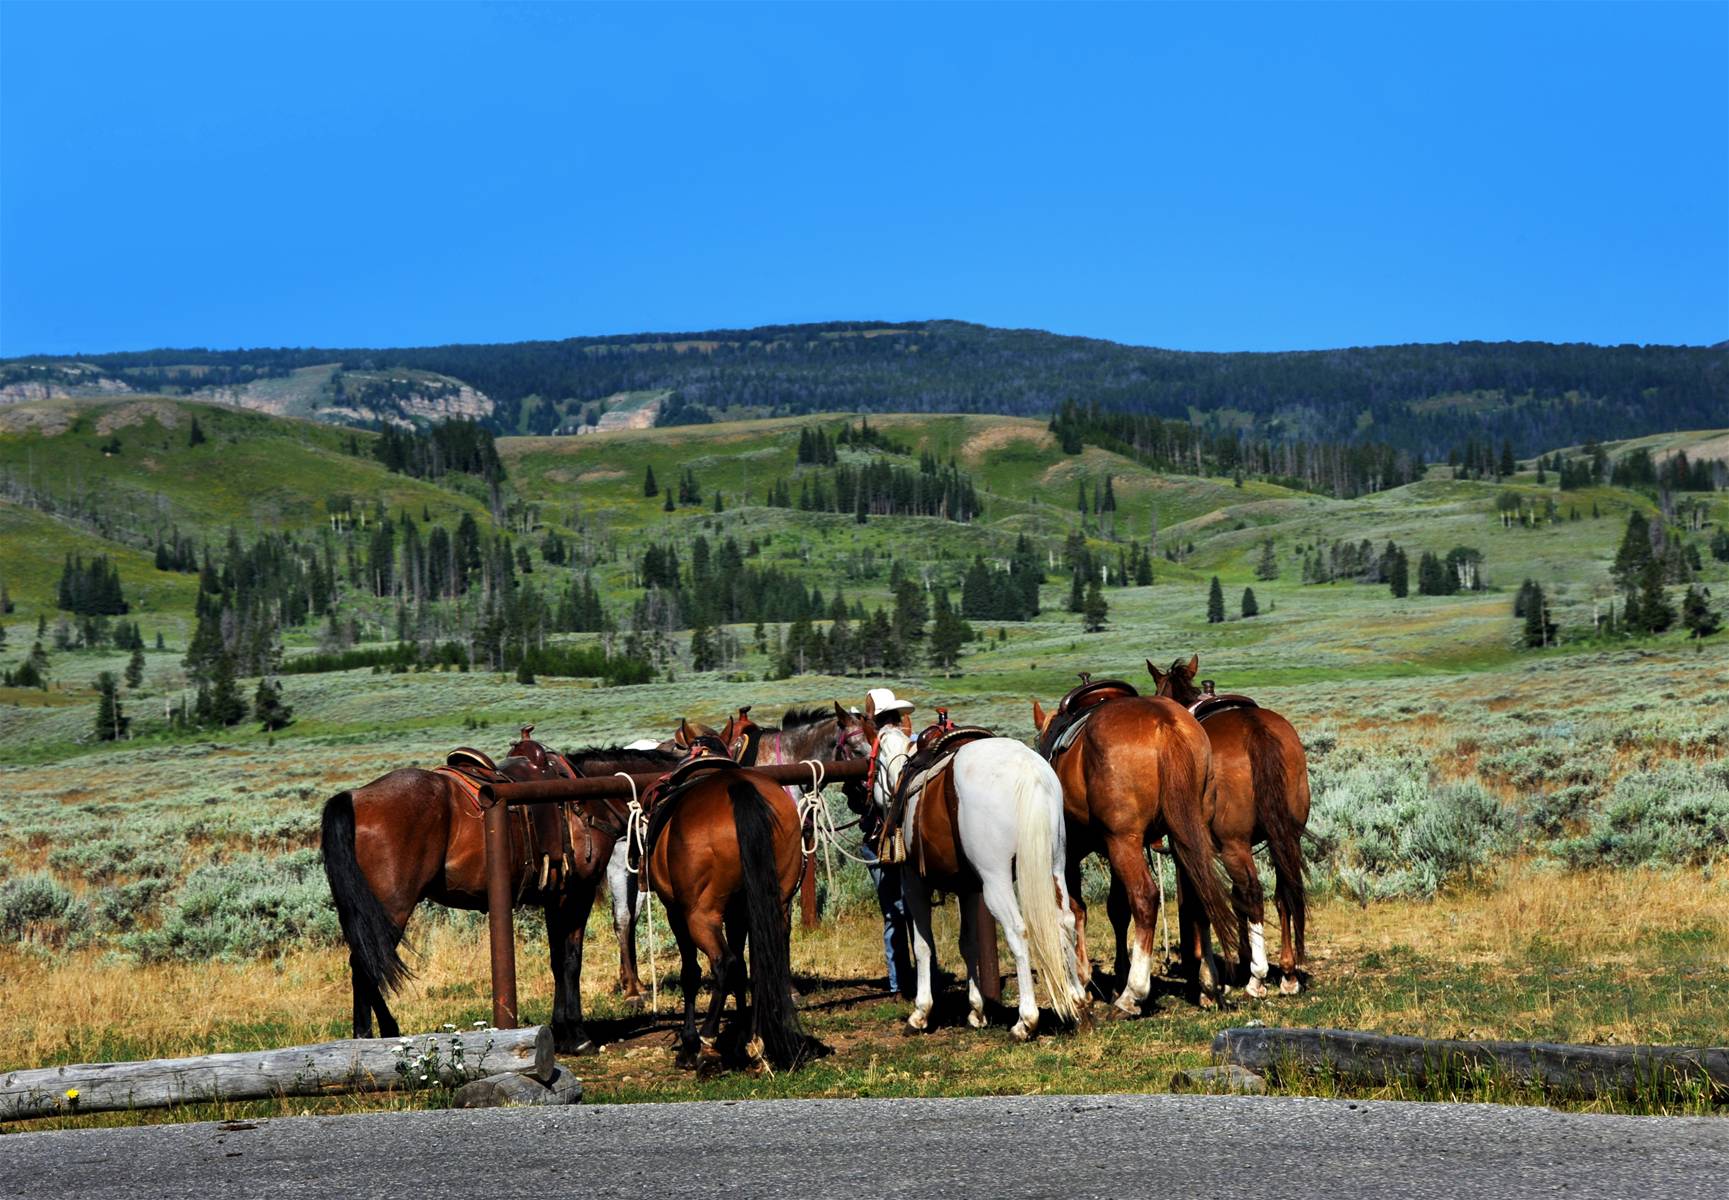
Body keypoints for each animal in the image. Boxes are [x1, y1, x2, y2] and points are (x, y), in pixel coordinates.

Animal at [318, 736, 674, 1058]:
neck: (587, 797)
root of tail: (353, 797)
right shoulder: (576, 894)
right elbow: (571, 960)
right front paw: (577, 1036)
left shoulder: (553, 897)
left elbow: (557, 960)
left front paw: (561, 1031)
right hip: (392, 908)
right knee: (366, 963)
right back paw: (369, 1037)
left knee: (363, 962)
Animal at [826, 708, 1078, 1037]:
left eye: (862, 757)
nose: (852, 796)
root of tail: (1028, 772)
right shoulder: (968, 888)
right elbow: (968, 944)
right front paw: (976, 1010)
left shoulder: (914, 883)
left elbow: (923, 946)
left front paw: (920, 1013)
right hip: (1054, 866)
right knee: (1066, 921)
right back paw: (1078, 1000)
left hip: (997, 882)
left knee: (1018, 931)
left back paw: (1026, 1021)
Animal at [1030, 684, 1237, 1016]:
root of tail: (1165, 724)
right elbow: (1117, 910)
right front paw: (1116, 975)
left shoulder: (1073, 851)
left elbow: (1077, 908)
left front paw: (1086, 979)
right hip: (1183, 835)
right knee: (1198, 895)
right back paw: (1208, 984)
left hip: (1123, 841)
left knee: (1145, 897)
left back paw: (1133, 995)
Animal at [1148, 657, 1307, 995]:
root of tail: (1255, 729)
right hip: (1286, 838)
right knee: (1283, 891)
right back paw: (1288, 974)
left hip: (1235, 845)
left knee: (1254, 894)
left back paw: (1257, 978)